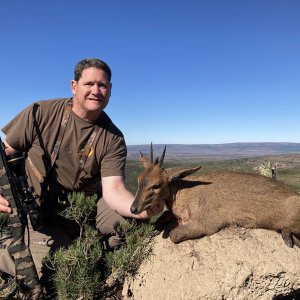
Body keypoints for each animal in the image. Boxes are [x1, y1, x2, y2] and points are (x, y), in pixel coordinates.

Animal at [130, 145, 300, 246]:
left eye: (157, 185)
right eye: (139, 179)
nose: (133, 209)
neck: (183, 193)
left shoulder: (207, 224)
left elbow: (174, 235)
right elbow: (158, 222)